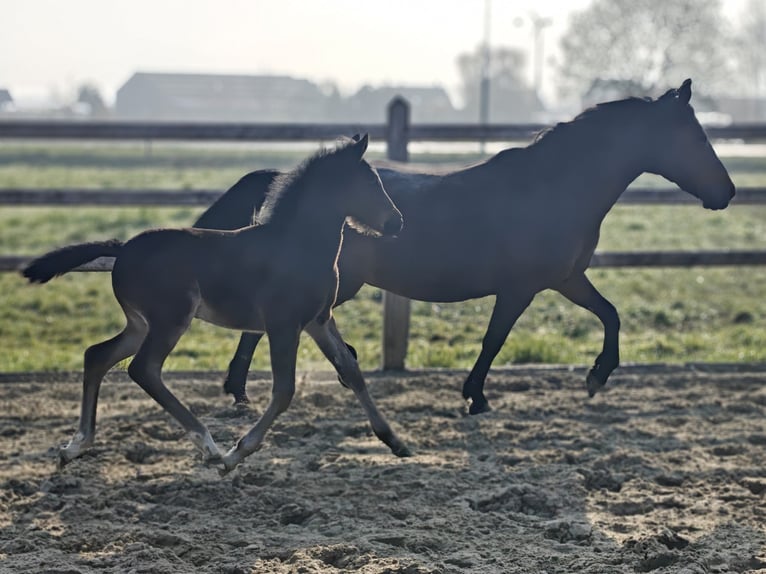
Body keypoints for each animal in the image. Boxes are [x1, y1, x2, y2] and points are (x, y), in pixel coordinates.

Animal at [21, 134, 410, 473]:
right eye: (370, 182)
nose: (397, 222)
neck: (298, 245)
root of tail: (123, 248)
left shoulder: (319, 320)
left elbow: (351, 371)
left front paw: (395, 441)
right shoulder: (283, 324)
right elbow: (284, 390)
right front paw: (236, 454)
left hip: (140, 324)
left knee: (97, 355)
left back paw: (75, 446)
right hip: (170, 319)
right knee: (143, 369)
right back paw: (208, 445)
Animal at [196, 78, 735, 415]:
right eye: (693, 136)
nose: (726, 191)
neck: (554, 188)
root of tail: (275, 179)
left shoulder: (567, 279)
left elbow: (611, 315)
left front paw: (597, 378)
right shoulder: (519, 289)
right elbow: (493, 340)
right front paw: (476, 397)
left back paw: (244, 389)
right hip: (337, 283)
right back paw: (247, 388)